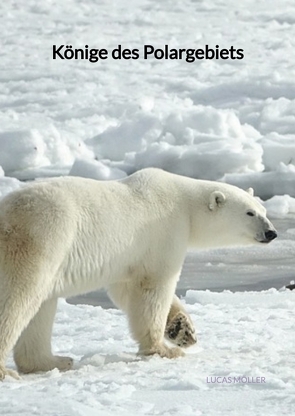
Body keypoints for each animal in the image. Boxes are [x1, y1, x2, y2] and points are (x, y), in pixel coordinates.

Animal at [0, 167, 278, 378]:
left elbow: (126, 289)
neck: (185, 204)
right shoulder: (164, 232)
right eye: (249, 212)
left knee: (41, 306)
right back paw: (9, 371)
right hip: (43, 237)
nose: (271, 232)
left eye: (264, 211)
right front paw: (164, 349)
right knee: (19, 297)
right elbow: (153, 288)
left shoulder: (127, 257)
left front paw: (183, 330)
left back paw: (54, 361)